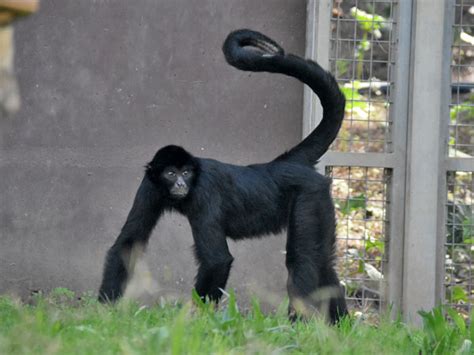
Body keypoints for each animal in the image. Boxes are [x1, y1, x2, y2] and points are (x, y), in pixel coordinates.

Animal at [98, 29, 346, 324]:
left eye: (186, 172)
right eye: (170, 173)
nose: (180, 183)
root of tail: (287, 162)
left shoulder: (203, 192)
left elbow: (217, 260)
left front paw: (193, 321)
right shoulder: (149, 187)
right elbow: (126, 245)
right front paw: (101, 313)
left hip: (309, 197)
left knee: (304, 260)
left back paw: (298, 324)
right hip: (320, 202)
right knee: (324, 263)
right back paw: (340, 325)